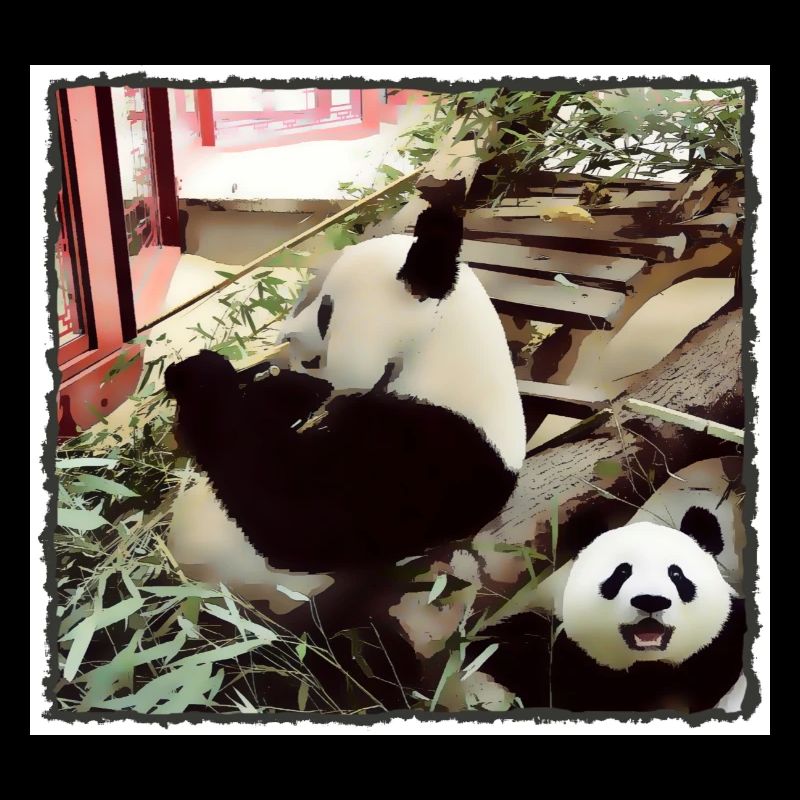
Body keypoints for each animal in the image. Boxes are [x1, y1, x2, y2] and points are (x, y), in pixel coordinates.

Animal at [164, 205, 527, 707]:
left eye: (325, 312)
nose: (286, 336)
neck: (438, 350)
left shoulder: (434, 454)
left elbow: (293, 517)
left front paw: (200, 374)